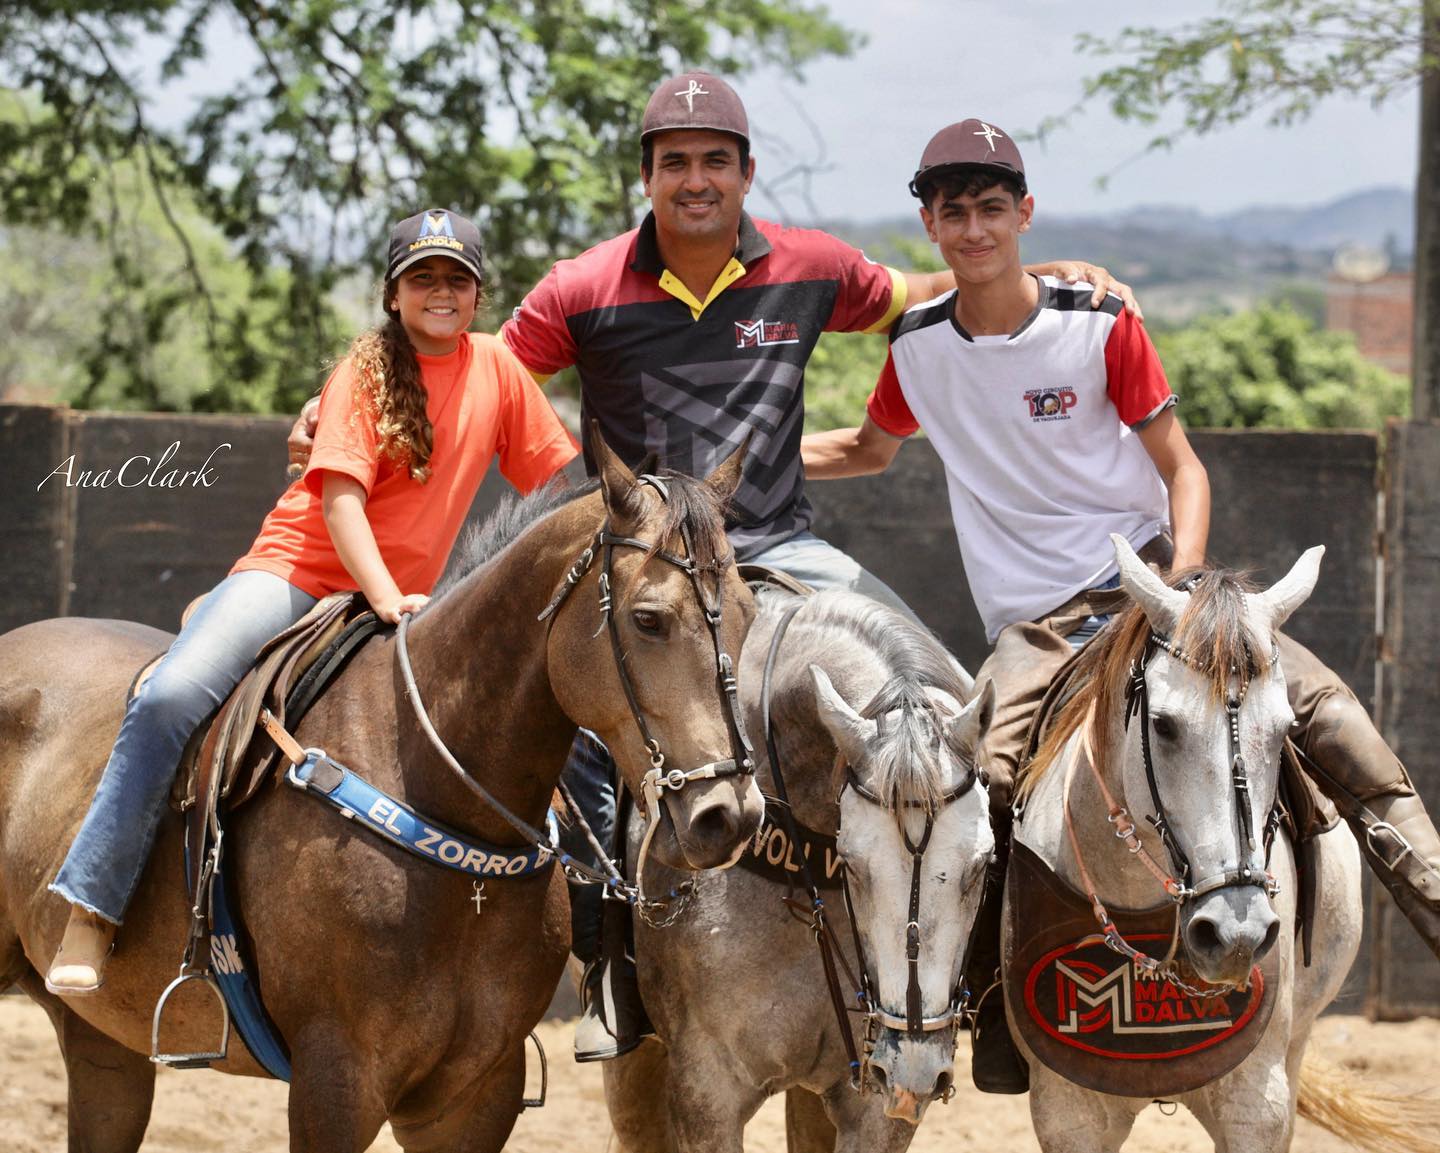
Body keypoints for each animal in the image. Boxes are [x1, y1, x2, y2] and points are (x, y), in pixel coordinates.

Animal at [0, 437, 766, 1151]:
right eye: (649, 618)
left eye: (749, 613)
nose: (728, 815)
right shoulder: (336, 1082)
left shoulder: (475, 1096)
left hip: (106, 1047)